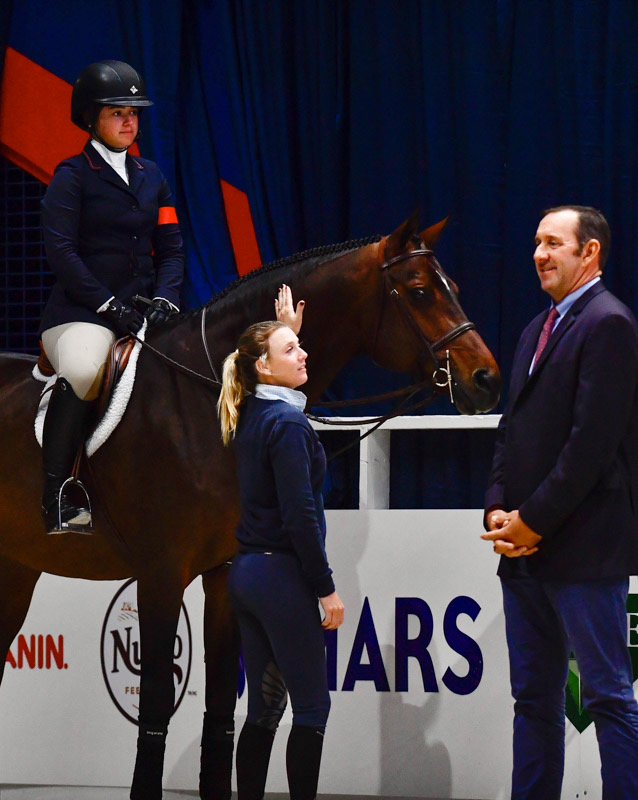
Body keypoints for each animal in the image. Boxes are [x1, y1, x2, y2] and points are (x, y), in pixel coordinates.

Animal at [0, 209, 500, 796]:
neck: (201, 399)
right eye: (420, 291)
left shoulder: (224, 573)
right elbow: (155, 706)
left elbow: (220, 710)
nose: (487, 379)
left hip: (15, 571)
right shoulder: (160, 575)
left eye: (454, 289)